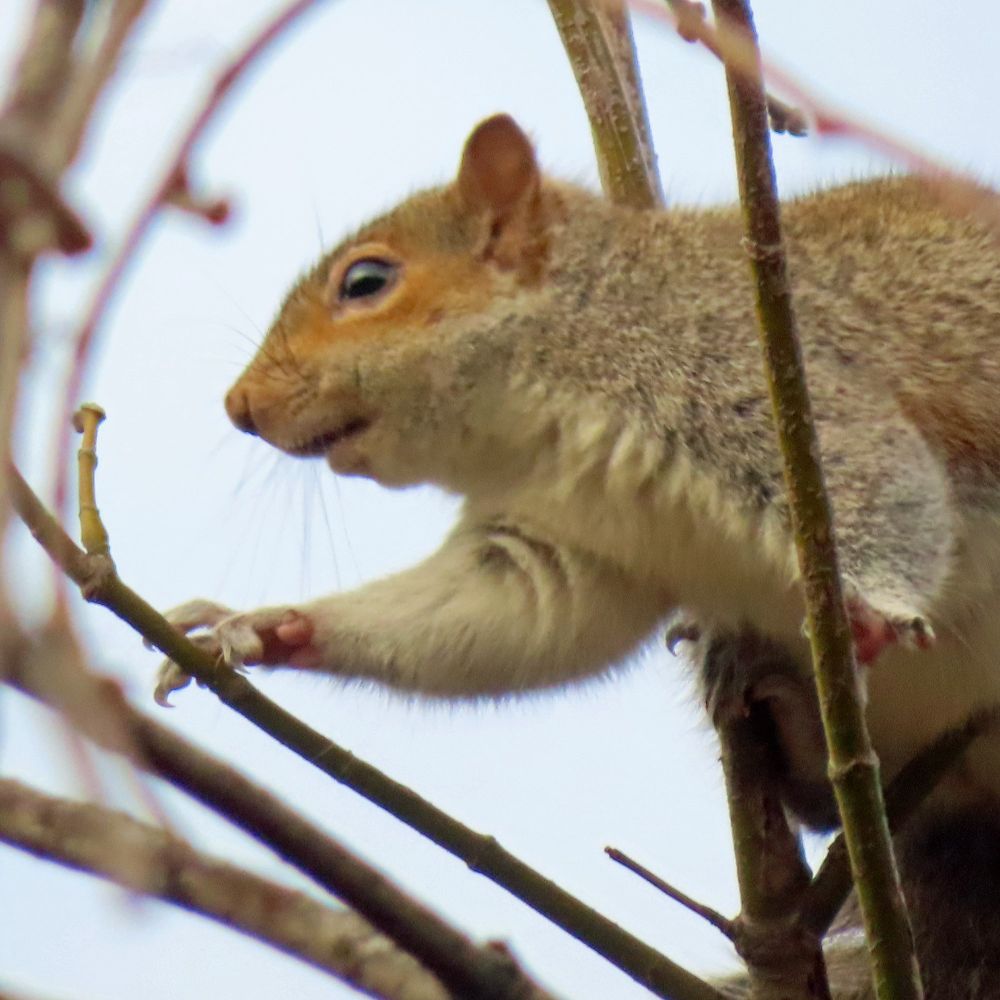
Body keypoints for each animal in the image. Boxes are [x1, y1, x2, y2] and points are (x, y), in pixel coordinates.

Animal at [159, 114, 1000, 996]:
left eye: (365, 282)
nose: (241, 407)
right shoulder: (565, 544)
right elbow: (517, 621)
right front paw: (257, 626)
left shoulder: (763, 385)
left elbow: (884, 480)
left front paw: (875, 613)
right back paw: (782, 710)